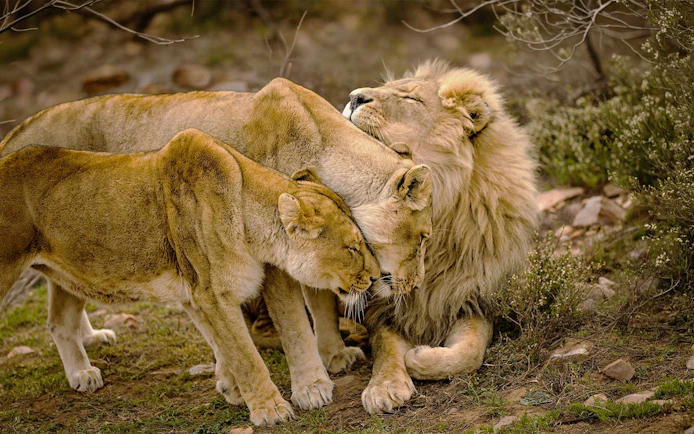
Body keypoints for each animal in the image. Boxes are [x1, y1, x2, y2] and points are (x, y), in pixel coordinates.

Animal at [0, 78, 433, 409]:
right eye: (424, 236)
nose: (415, 286)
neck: (324, 146)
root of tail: (15, 134)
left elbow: (321, 298)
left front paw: (334, 355)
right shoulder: (274, 254)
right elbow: (295, 320)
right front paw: (310, 387)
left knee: (63, 304)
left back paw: (89, 341)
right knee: (59, 316)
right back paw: (82, 370)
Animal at [339, 60, 538, 413]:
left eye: (411, 98)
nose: (353, 97)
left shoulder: (472, 298)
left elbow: (470, 352)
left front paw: (419, 358)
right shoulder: (385, 307)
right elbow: (385, 345)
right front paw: (384, 387)